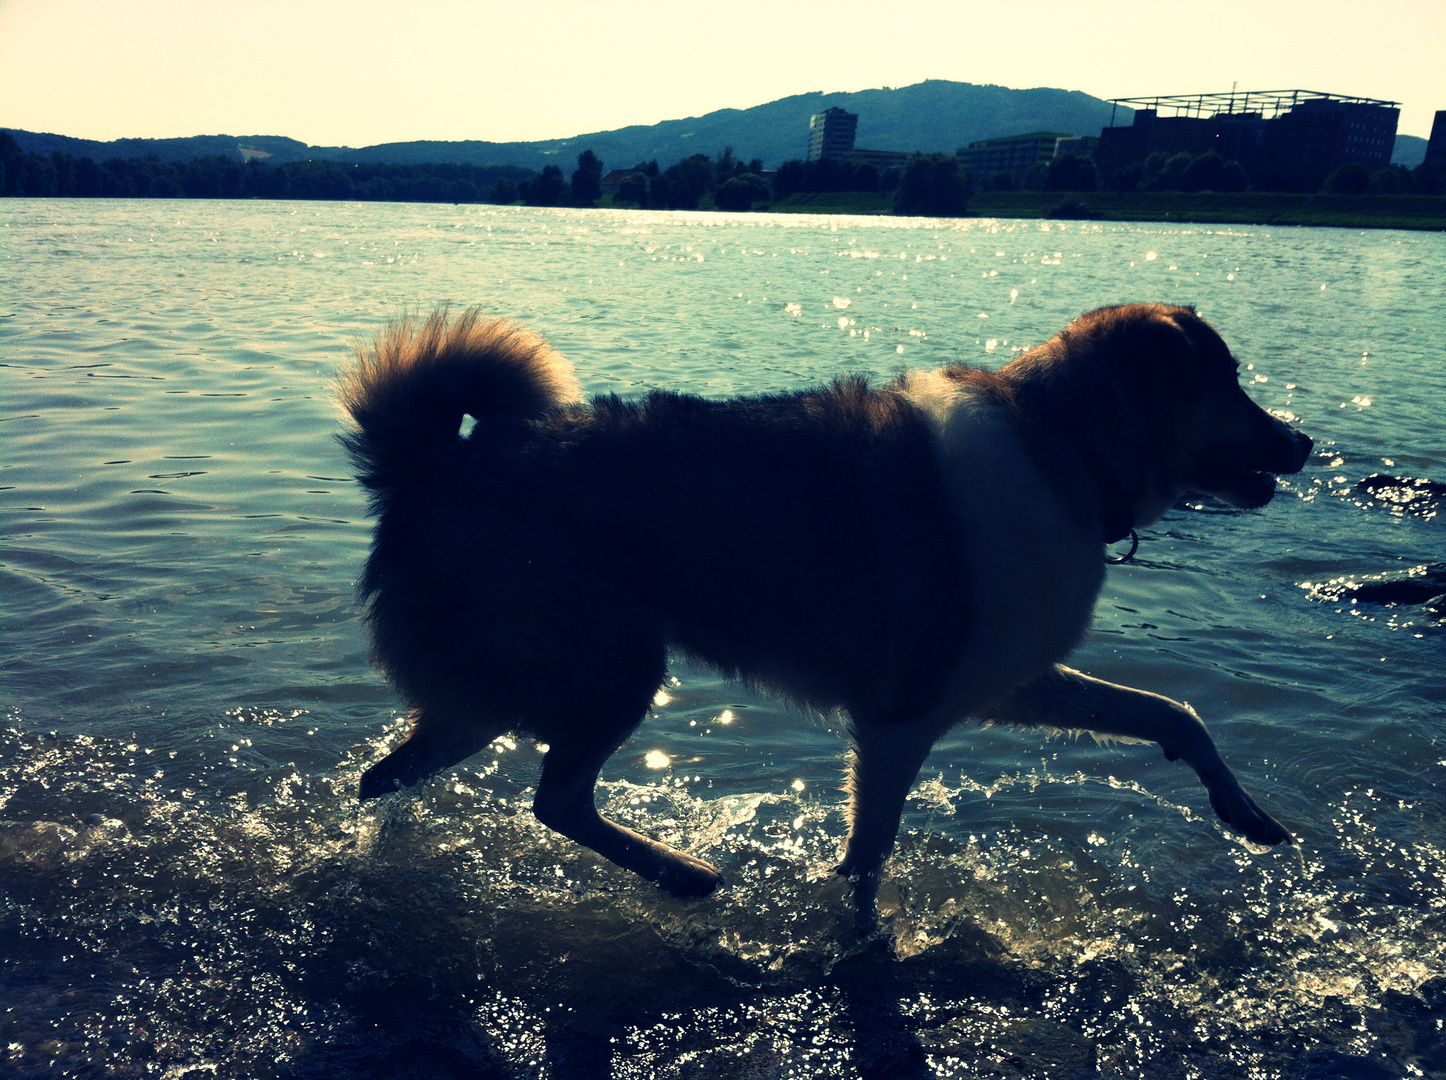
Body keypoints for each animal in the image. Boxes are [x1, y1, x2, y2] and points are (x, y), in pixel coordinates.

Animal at [338, 299, 1312, 925]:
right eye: (1227, 381)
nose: (1303, 443)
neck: (1062, 446)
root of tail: (432, 464)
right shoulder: (901, 720)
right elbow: (867, 862)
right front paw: (856, 946)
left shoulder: (1008, 683)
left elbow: (1173, 713)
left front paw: (1243, 812)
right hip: (609, 670)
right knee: (554, 798)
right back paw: (678, 873)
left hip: (508, 689)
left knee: (394, 778)